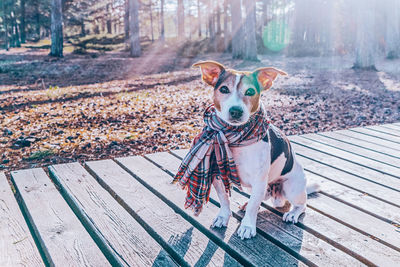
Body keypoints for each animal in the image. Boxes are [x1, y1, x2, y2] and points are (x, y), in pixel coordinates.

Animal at [192, 60, 318, 241]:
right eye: (224, 89)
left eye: (250, 91)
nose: (235, 111)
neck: (235, 138)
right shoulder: (218, 175)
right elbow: (225, 200)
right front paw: (223, 216)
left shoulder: (259, 181)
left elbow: (253, 206)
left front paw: (247, 226)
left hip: (291, 187)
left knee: (302, 205)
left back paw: (293, 213)